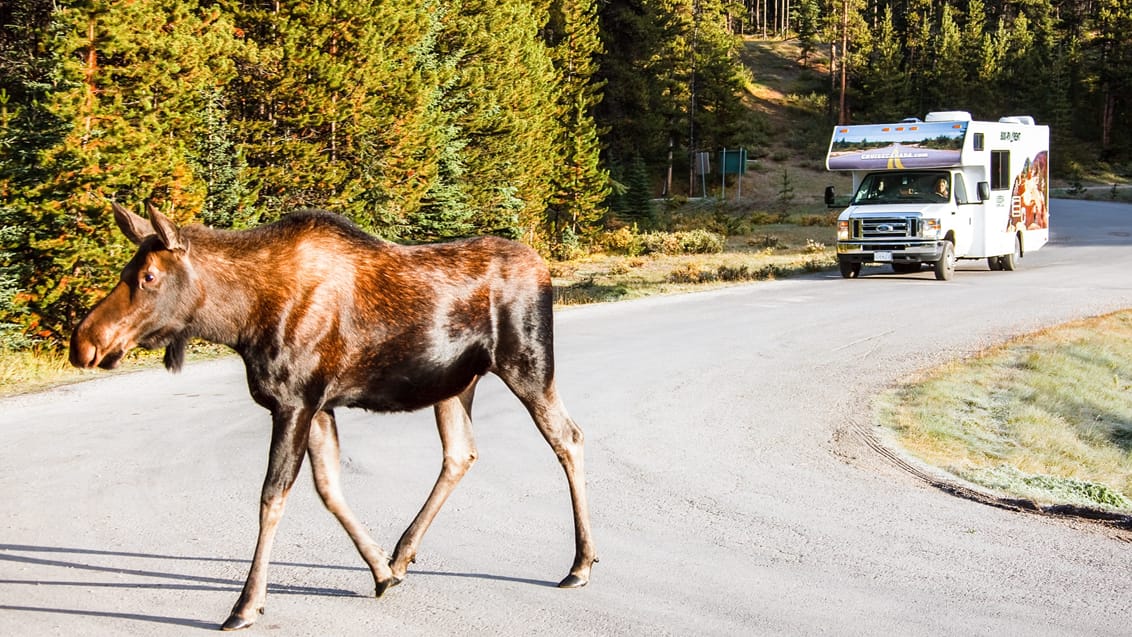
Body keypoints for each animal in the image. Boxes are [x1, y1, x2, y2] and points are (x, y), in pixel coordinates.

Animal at [69, 201, 597, 629]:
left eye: (148, 277)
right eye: (126, 270)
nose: (85, 342)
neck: (238, 322)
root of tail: (544, 268)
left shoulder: (294, 401)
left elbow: (272, 497)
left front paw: (246, 605)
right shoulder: (319, 405)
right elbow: (329, 488)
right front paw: (381, 571)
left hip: (527, 362)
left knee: (568, 437)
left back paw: (580, 564)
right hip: (453, 384)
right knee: (461, 453)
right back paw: (402, 555)